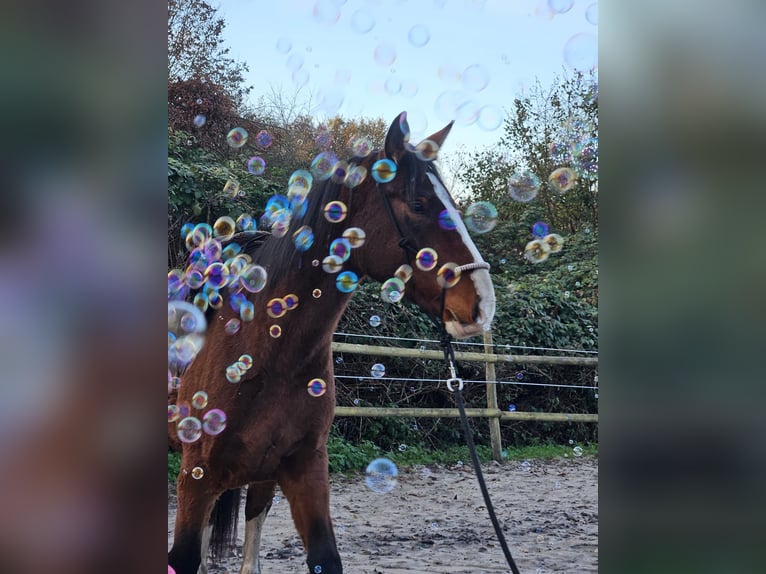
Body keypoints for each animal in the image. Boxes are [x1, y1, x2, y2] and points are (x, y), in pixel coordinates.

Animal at [168, 112, 496, 574]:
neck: (264, 350)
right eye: (418, 204)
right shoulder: (195, 477)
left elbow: (324, 556)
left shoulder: (304, 468)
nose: (483, 303)